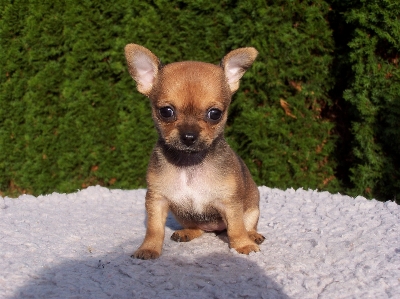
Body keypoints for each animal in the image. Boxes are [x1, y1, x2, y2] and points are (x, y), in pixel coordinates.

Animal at [123, 42, 264, 260]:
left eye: (215, 114)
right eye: (166, 112)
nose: (188, 136)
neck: (189, 162)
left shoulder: (230, 204)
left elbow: (236, 228)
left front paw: (243, 245)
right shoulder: (157, 200)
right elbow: (154, 229)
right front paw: (148, 248)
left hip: (252, 209)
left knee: (246, 226)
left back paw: (253, 236)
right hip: (182, 215)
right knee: (198, 228)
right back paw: (187, 232)